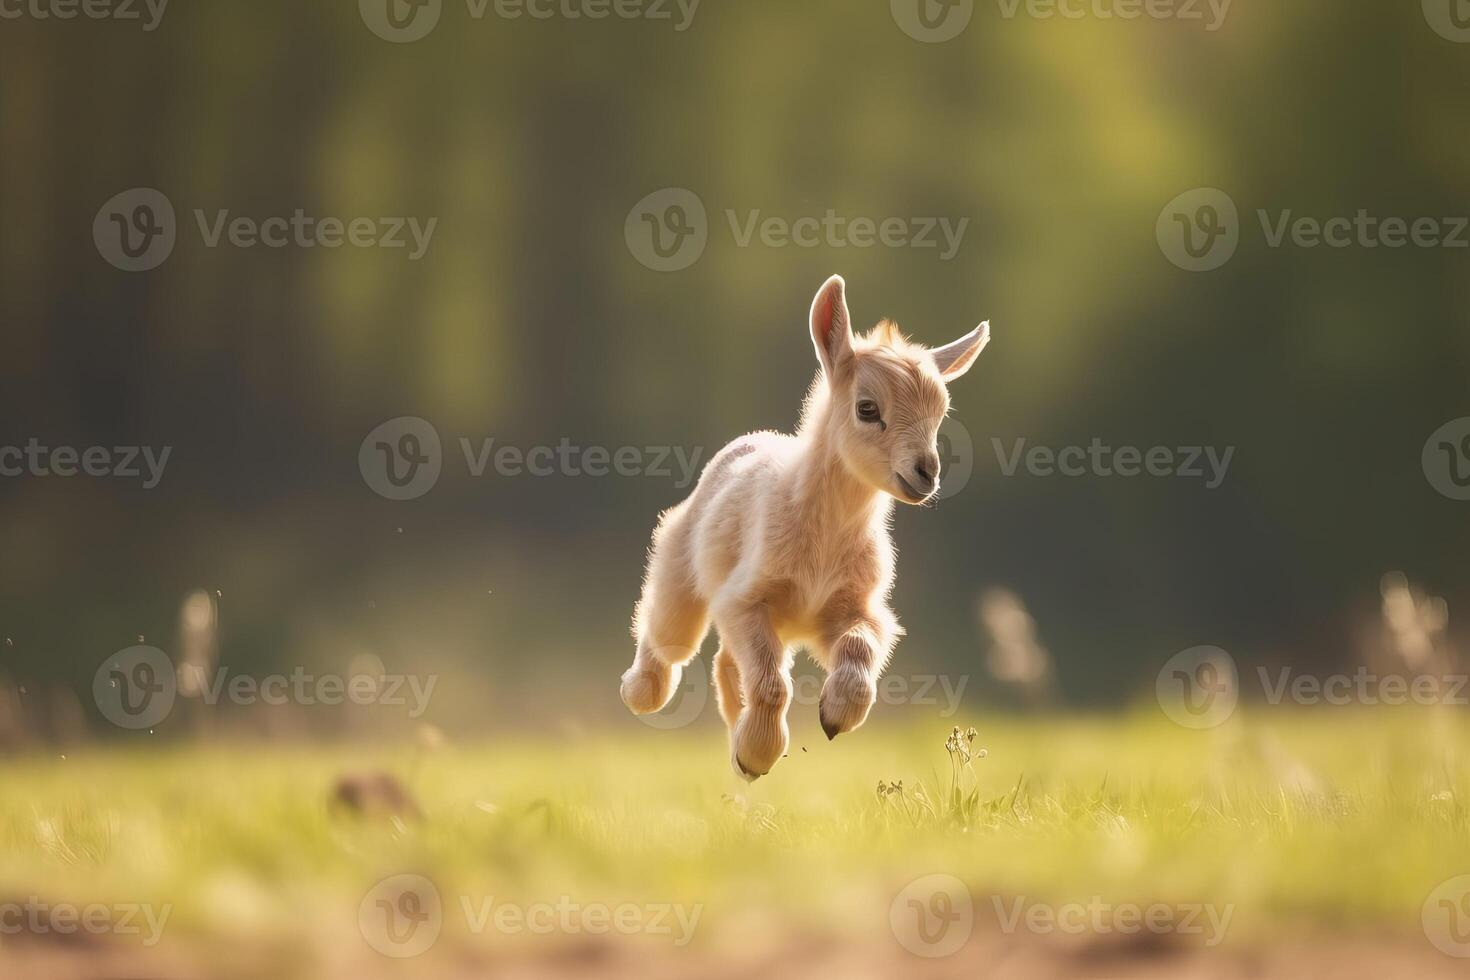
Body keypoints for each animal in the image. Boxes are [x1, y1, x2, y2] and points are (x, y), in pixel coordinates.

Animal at [620, 276, 987, 781]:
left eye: (941, 415)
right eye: (867, 409)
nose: (925, 473)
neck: (826, 535)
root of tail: (751, 439)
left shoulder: (857, 608)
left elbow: (858, 654)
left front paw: (832, 719)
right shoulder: (743, 600)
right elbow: (773, 684)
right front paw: (760, 754)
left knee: (724, 665)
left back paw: (737, 756)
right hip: (679, 568)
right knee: (671, 640)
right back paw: (639, 693)